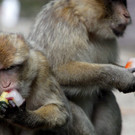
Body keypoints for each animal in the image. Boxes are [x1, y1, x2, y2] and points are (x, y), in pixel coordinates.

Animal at [28, 0, 135, 135]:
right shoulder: (63, 25)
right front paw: (121, 75)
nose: (127, 15)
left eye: (123, 2)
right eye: (113, 2)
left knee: (106, 96)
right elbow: (55, 71)